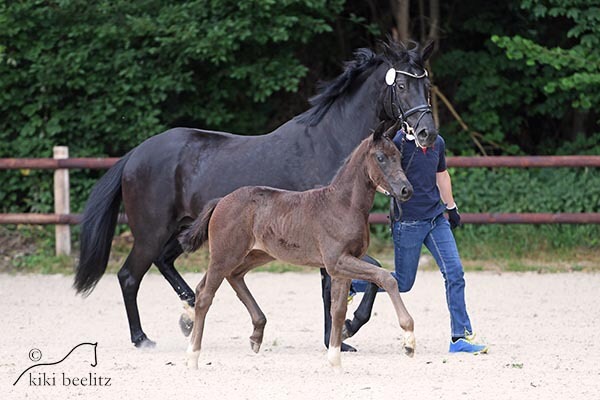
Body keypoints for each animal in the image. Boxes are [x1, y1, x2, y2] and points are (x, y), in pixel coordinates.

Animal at [179, 121, 418, 368]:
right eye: (381, 157)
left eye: (399, 156)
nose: (406, 190)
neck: (343, 205)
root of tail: (221, 201)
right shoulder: (337, 262)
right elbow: (386, 278)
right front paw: (409, 339)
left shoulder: (341, 267)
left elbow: (338, 310)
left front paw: (335, 357)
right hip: (225, 254)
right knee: (205, 295)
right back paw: (193, 355)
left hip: (256, 254)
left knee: (230, 277)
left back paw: (256, 334)